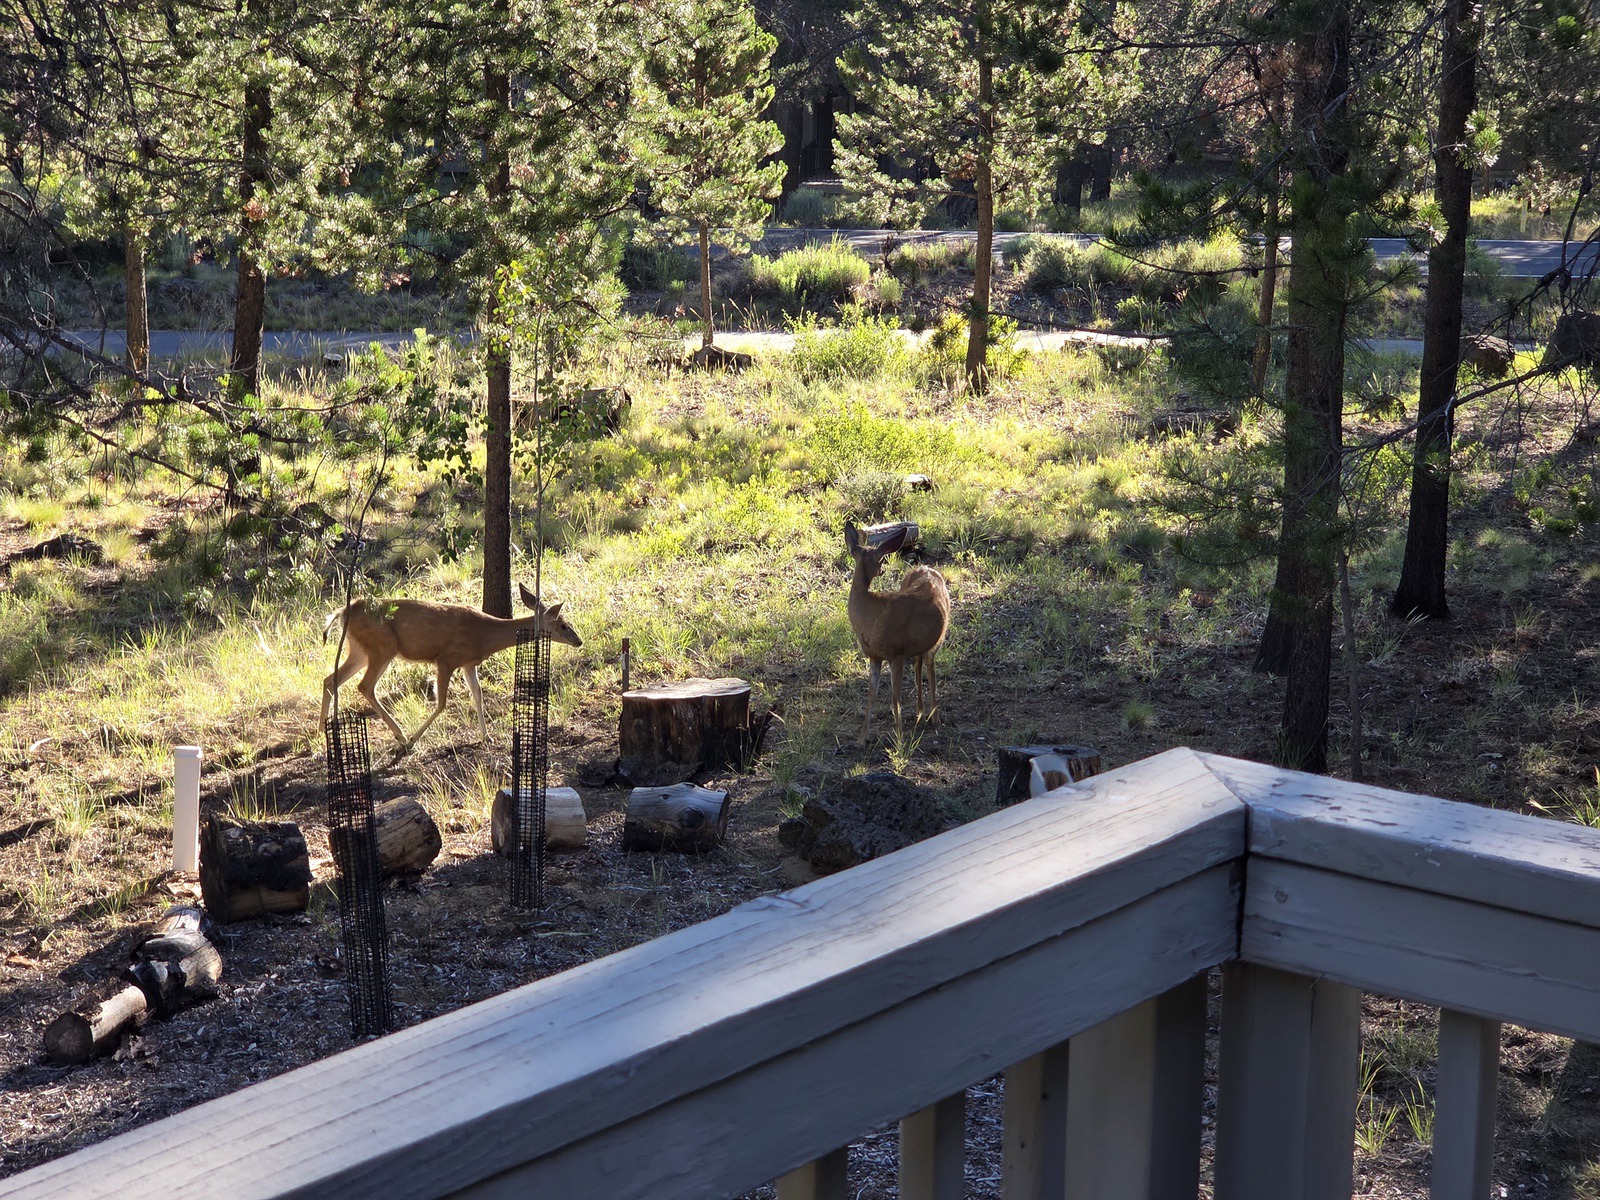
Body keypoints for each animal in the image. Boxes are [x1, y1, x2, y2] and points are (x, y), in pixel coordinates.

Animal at [319, 583, 582, 751]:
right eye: (563, 624)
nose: (579, 641)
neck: (484, 635)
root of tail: (343, 611)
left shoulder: (468, 663)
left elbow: (477, 694)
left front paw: (486, 737)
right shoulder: (446, 659)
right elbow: (442, 702)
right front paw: (414, 739)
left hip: (359, 650)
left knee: (330, 679)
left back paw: (322, 731)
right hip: (382, 647)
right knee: (364, 686)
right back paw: (401, 736)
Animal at [844, 521, 951, 740]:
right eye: (879, 559)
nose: (882, 570)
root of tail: (927, 567)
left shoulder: (896, 653)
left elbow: (896, 698)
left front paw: (899, 738)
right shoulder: (874, 656)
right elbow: (871, 695)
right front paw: (862, 738)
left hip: (940, 635)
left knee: (930, 665)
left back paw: (934, 717)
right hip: (920, 642)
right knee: (919, 663)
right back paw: (920, 713)